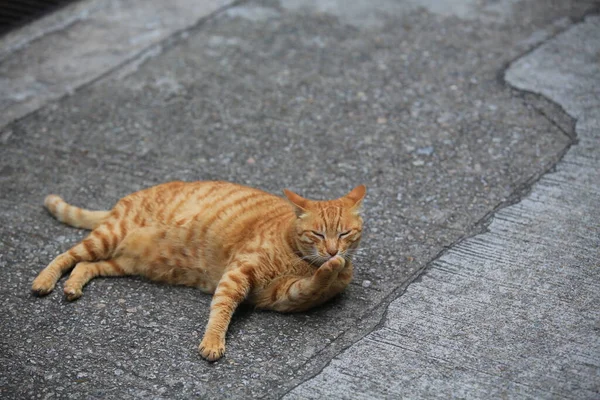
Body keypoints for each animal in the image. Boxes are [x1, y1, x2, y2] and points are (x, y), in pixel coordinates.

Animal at [32, 180, 366, 360]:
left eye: (345, 234)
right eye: (318, 234)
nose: (333, 250)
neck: (295, 256)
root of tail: (122, 200)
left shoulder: (284, 295)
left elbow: (312, 283)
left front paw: (336, 268)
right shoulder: (238, 275)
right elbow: (221, 310)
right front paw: (213, 342)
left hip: (124, 263)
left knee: (86, 265)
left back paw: (73, 286)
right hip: (108, 237)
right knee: (66, 256)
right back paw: (44, 281)